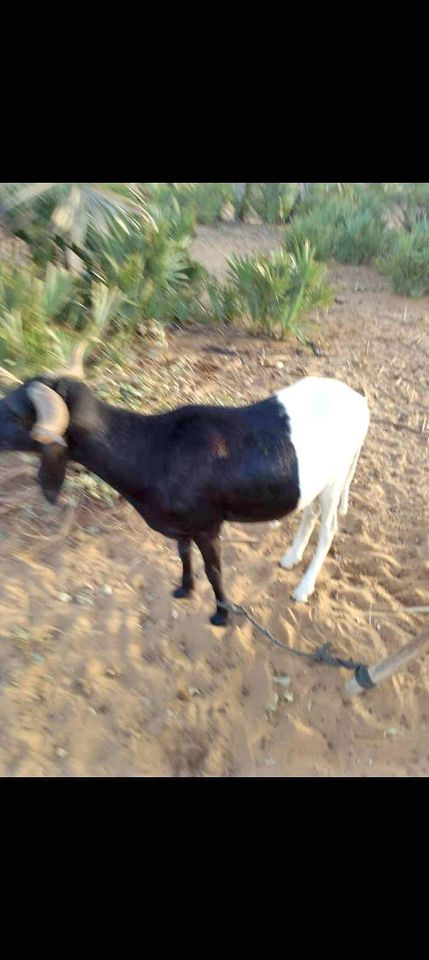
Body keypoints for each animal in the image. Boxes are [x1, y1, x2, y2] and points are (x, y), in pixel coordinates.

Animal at [0, 348, 369, 626]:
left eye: (15, 413)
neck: (155, 448)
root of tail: (358, 401)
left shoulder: (208, 525)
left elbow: (214, 570)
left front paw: (222, 614)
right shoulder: (182, 525)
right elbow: (182, 553)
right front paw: (184, 588)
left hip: (336, 479)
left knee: (328, 529)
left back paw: (303, 588)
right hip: (316, 482)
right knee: (308, 514)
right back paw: (290, 558)